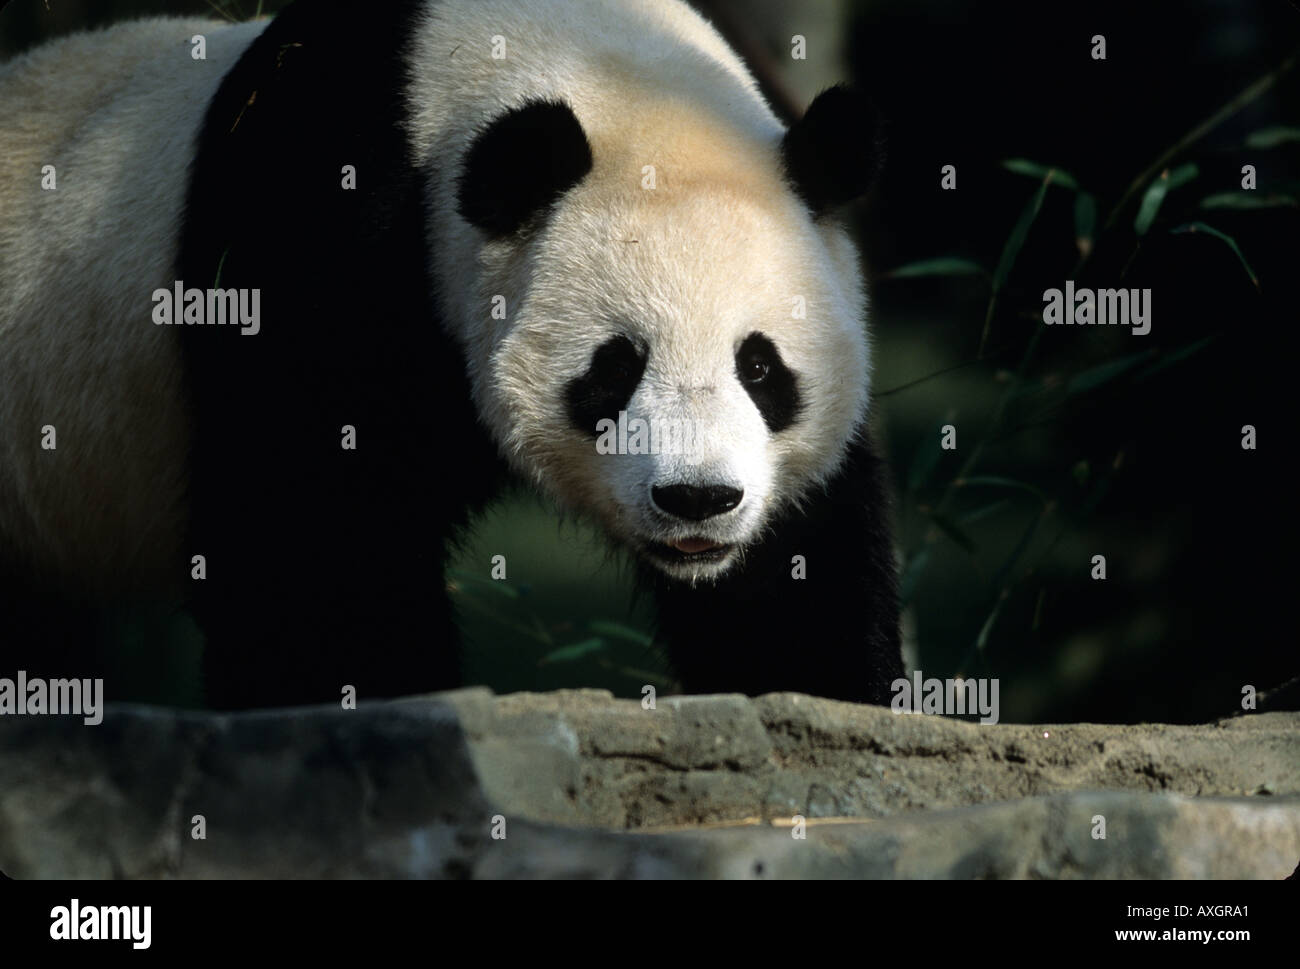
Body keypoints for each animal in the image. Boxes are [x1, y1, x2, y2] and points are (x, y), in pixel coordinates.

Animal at [2, 0, 904, 712]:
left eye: (761, 368)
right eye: (615, 367)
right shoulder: (320, 236)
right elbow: (309, 535)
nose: (698, 500)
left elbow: (792, 575)